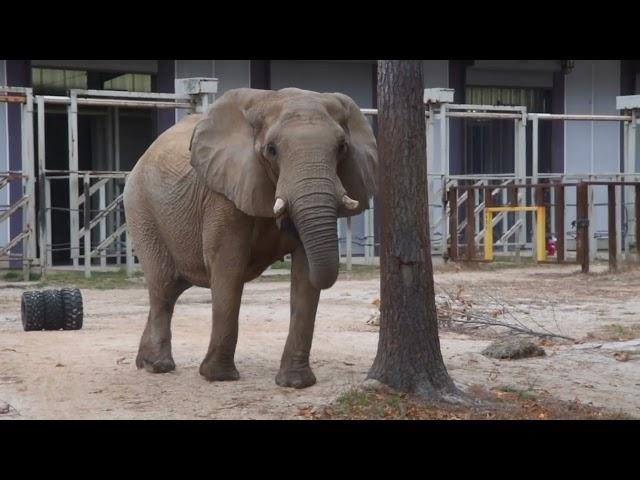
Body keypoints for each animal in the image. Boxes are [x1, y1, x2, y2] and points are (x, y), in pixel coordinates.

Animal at [122, 88, 378, 388]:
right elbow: (229, 265)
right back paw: (158, 366)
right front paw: (219, 377)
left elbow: (305, 272)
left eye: (341, 148)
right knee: (163, 287)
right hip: (141, 209)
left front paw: (295, 383)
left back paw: (144, 363)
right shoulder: (223, 195)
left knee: (171, 289)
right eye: (272, 150)